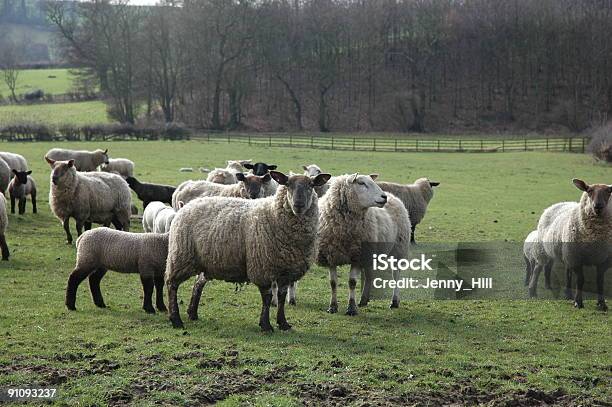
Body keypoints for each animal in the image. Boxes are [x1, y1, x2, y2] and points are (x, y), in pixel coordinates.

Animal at [165, 170, 332, 332]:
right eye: (288, 184)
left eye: (311, 185)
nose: (298, 204)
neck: (274, 213)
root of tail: (186, 206)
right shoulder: (262, 267)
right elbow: (267, 297)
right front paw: (266, 325)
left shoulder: (287, 270)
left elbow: (282, 297)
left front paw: (283, 323)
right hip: (181, 255)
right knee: (172, 285)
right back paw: (176, 320)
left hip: (204, 261)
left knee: (198, 283)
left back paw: (192, 313)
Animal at [316, 174, 412, 318]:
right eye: (361, 183)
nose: (384, 197)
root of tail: (393, 196)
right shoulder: (331, 256)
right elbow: (333, 283)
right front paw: (332, 307)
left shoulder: (358, 256)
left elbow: (352, 282)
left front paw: (351, 308)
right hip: (371, 253)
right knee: (369, 275)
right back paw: (363, 300)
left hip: (398, 250)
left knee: (396, 275)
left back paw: (394, 301)